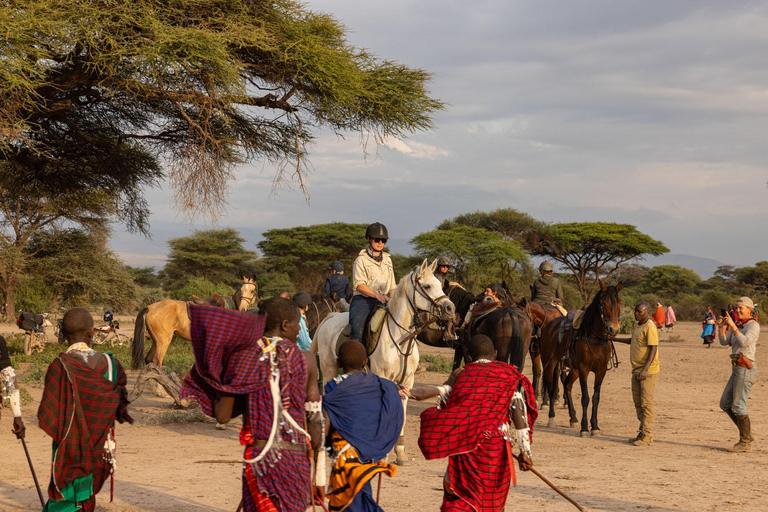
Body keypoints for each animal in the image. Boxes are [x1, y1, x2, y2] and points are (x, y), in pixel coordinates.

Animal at [314, 260, 456, 464]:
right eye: (428, 286)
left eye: (440, 284)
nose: (450, 309)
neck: (400, 337)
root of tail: (330, 317)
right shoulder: (384, 378)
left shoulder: (407, 382)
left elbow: (402, 414)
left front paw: (401, 453)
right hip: (328, 369)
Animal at [536, 280, 620, 436]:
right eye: (604, 303)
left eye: (619, 302)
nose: (614, 329)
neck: (595, 337)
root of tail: (549, 325)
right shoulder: (584, 369)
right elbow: (585, 398)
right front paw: (585, 428)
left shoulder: (601, 371)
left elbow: (595, 398)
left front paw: (595, 427)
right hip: (550, 364)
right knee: (551, 389)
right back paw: (551, 418)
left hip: (573, 369)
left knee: (567, 385)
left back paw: (573, 418)